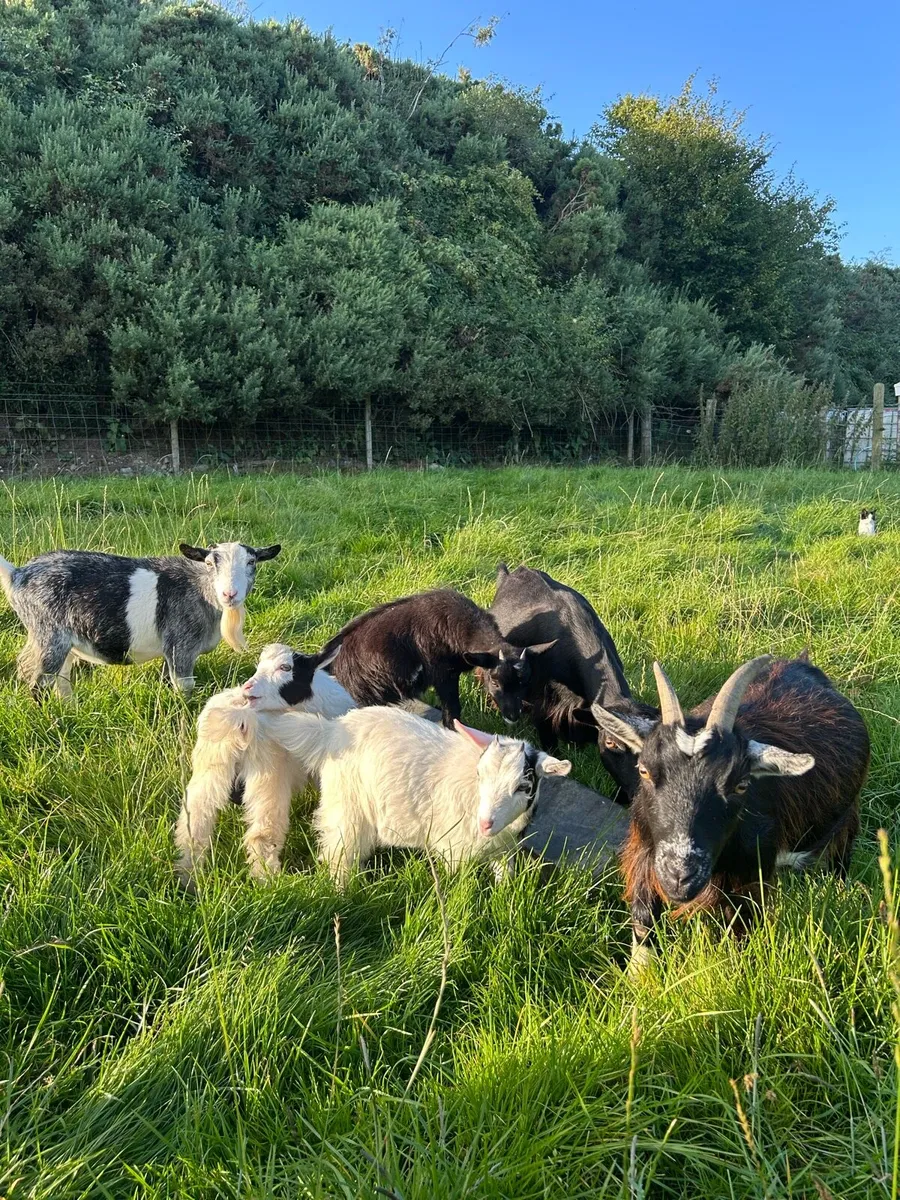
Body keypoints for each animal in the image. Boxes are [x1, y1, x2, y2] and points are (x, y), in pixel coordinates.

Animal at [0, 542, 281, 697]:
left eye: (252, 561)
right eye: (211, 563)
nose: (229, 594)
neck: (200, 589)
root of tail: (17, 574)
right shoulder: (181, 647)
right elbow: (184, 687)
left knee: (60, 678)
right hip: (49, 635)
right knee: (40, 682)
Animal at [174, 643, 351, 884]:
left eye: (286, 667)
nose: (248, 687)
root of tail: (240, 716)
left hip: (210, 766)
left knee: (194, 821)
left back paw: (188, 877)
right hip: (267, 775)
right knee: (262, 833)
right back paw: (266, 881)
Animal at [256, 705, 572, 884]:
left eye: (523, 786)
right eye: (480, 774)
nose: (485, 824)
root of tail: (330, 730)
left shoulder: (503, 851)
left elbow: (505, 881)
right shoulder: (453, 849)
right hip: (347, 802)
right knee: (337, 852)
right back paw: (343, 890)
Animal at [590, 654, 869, 963]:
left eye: (741, 785)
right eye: (644, 771)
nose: (680, 877)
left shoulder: (749, 877)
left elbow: (739, 934)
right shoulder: (643, 850)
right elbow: (643, 918)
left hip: (846, 822)